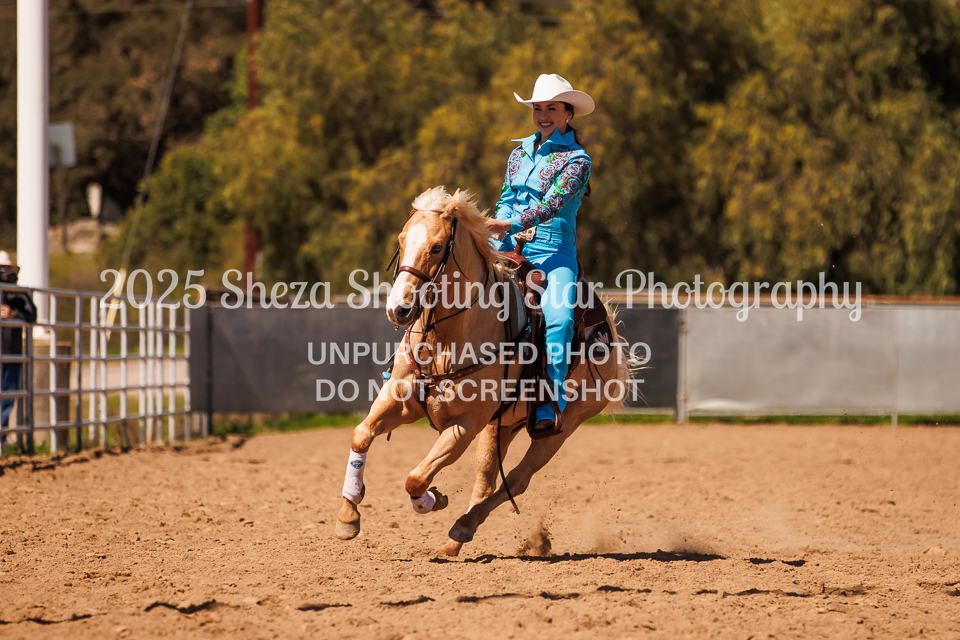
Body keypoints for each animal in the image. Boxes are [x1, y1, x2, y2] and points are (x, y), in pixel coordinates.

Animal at [335, 186, 630, 556]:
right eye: (401, 240)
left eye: (436, 247)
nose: (399, 309)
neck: (447, 340)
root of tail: (608, 332)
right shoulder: (399, 402)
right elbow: (361, 434)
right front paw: (348, 517)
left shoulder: (466, 425)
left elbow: (416, 478)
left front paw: (432, 499)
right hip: (501, 425)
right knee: (486, 480)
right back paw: (455, 539)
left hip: (563, 428)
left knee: (517, 479)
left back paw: (462, 526)